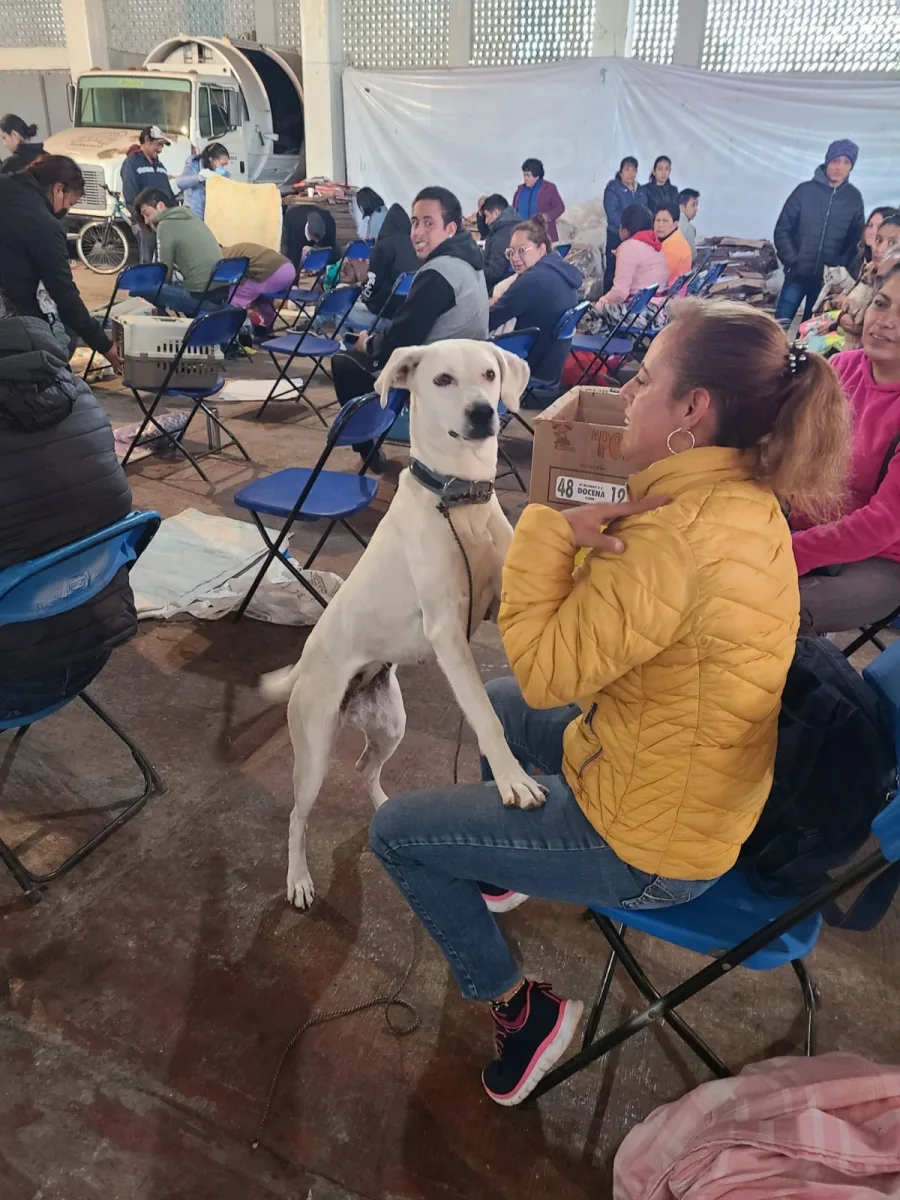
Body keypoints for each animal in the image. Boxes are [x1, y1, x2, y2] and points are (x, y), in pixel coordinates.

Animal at [256, 338, 547, 907]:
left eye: (489, 374)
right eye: (441, 380)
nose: (482, 413)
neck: (459, 498)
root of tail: (306, 662)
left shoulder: (503, 606)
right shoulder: (448, 630)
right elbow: (486, 716)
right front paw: (512, 779)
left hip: (392, 725)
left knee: (365, 768)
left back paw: (383, 805)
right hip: (314, 750)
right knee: (298, 817)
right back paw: (298, 880)